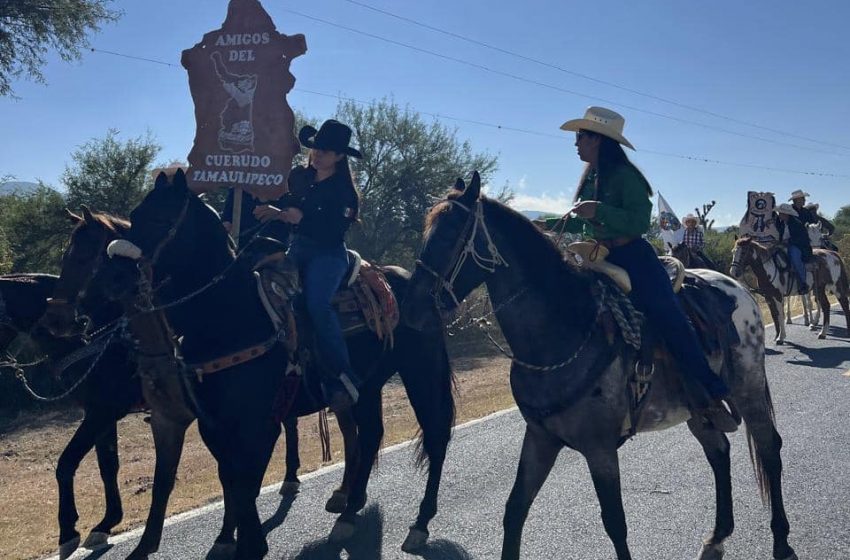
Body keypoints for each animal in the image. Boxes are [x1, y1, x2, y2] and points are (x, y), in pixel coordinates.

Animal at [400, 173, 796, 560]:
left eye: (450, 232)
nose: (413, 308)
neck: (561, 332)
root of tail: (736, 287)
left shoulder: (600, 448)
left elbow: (615, 523)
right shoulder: (541, 438)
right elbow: (514, 511)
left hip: (747, 389)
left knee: (770, 447)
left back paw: (781, 541)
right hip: (697, 409)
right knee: (718, 452)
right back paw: (716, 537)